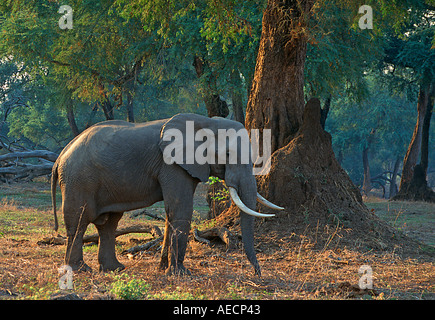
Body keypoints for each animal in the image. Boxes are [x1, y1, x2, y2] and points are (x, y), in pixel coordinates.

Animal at [51, 114, 284, 276]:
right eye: (227, 154)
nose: (257, 274)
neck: (205, 121)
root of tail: (60, 156)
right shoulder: (172, 165)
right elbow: (181, 209)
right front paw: (181, 273)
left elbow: (171, 212)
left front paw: (163, 269)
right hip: (79, 180)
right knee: (79, 221)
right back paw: (80, 270)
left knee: (108, 223)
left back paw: (115, 269)